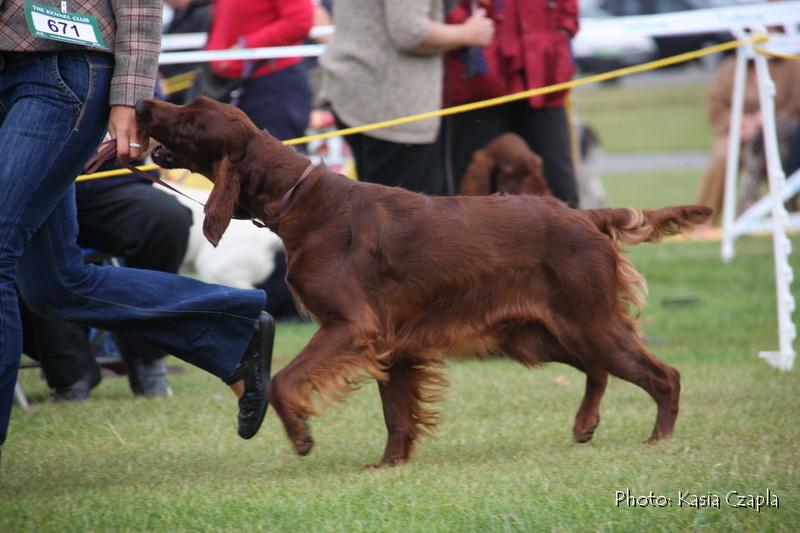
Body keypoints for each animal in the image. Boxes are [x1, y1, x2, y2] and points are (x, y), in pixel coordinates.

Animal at [133, 95, 712, 466]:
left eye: (189, 120)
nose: (140, 105)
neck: (302, 201)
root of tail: (584, 216)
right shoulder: (392, 340)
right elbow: (397, 415)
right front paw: (389, 466)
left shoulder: (352, 326)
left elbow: (282, 381)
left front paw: (301, 438)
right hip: (536, 336)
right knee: (598, 369)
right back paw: (586, 424)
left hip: (586, 322)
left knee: (664, 376)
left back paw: (658, 441)